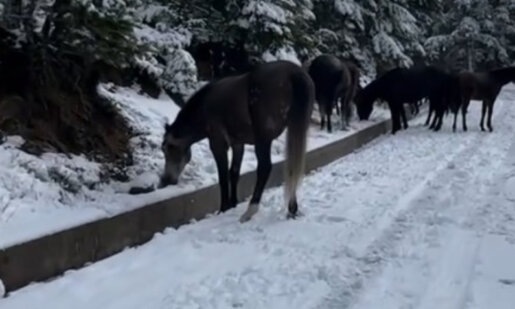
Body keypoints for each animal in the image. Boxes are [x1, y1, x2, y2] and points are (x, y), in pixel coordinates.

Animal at [160, 60, 314, 223]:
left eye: (168, 147)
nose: (166, 179)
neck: (204, 108)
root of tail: (294, 73)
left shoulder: (218, 144)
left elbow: (222, 176)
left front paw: (223, 208)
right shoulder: (238, 144)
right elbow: (234, 172)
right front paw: (233, 204)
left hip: (263, 138)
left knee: (265, 168)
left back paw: (250, 211)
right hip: (296, 128)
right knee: (293, 165)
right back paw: (292, 209)